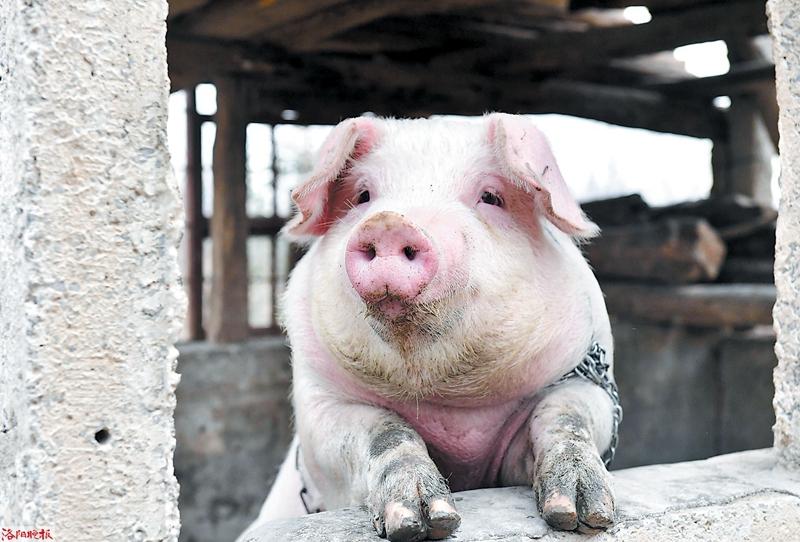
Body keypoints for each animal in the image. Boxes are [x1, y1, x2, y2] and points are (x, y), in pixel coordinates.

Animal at [242, 113, 620, 542]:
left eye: (491, 196)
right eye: (363, 196)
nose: (390, 223)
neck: (449, 404)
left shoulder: (586, 376)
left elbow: (566, 416)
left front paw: (582, 515)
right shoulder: (320, 404)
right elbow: (387, 431)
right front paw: (423, 522)